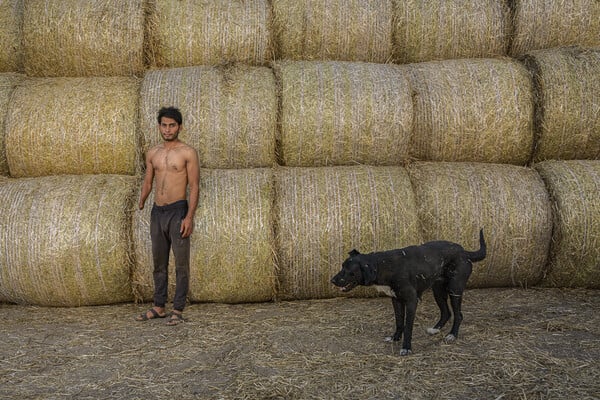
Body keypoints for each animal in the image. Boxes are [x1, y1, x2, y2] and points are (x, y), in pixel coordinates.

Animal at [330, 230, 486, 354]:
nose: (332, 280)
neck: (383, 265)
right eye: (342, 266)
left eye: (348, 271)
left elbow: (408, 326)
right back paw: (435, 329)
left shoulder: (411, 300)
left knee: (458, 315)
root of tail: (464, 251)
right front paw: (395, 338)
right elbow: (399, 322)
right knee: (446, 312)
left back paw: (452, 335)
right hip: (438, 290)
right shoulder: (396, 299)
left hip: (455, 290)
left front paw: (406, 347)